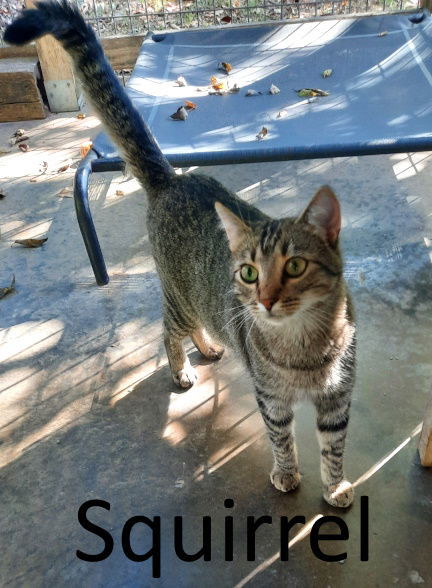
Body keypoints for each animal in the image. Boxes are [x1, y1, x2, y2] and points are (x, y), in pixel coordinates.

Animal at [5, 0, 356, 508]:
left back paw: (209, 346)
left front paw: (336, 486)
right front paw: (287, 474)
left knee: (197, 326)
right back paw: (182, 368)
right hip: (181, 297)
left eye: (294, 266)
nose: (264, 300)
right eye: (249, 273)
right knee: (168, 329)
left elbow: (333, 448)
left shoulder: (338, 398)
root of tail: (172, 177)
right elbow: (282, 440)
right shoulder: (271, 400)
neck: (304, 345)